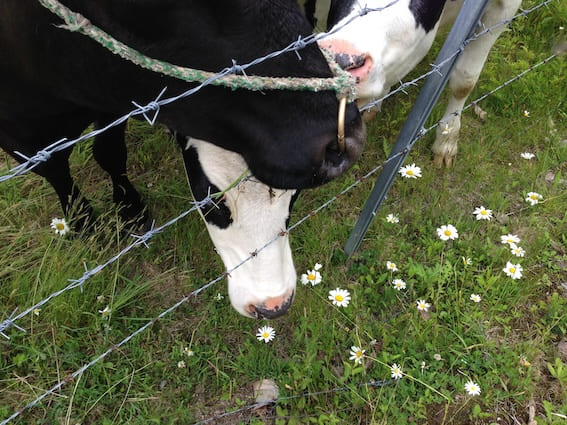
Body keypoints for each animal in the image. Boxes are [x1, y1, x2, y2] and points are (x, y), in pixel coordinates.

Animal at [0, 0, 366, 318]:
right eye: (212, 201)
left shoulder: (112, 110)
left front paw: (130, 210)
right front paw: (84, 223)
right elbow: (57, 171)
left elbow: (109, 152)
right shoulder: (21, 137)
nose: (274, 305)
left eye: (294, 199)